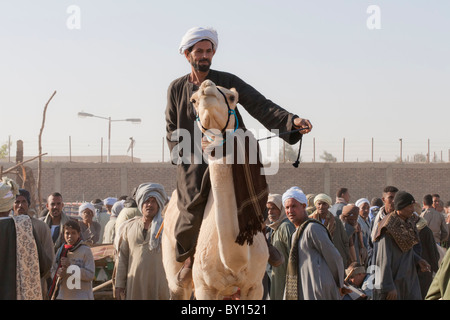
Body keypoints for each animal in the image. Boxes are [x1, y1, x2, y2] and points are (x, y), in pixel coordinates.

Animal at [161, 80, 268, 300]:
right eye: (193, 100)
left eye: (233, 97)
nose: (205, 86)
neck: (234, 262)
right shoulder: (205, 287)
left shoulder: (255, 286)